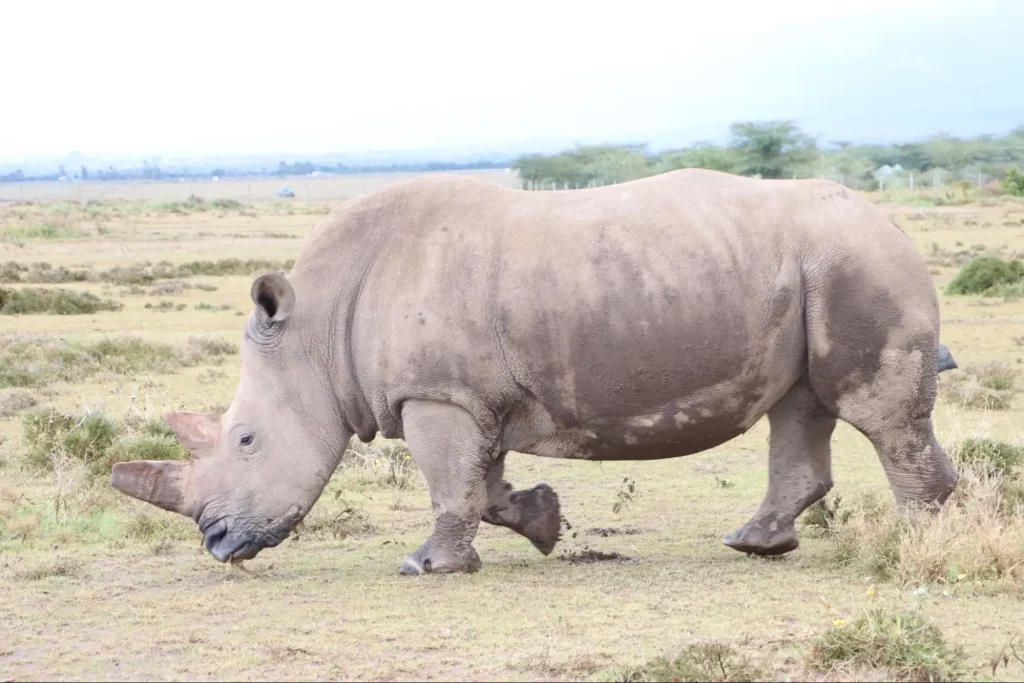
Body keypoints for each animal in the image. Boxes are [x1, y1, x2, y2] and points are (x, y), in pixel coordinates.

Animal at [112, 169, 958, 573]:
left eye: (246, 439)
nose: (217, 542)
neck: (315, 331)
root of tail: (892, 220)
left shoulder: (437, 395)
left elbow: (451, 484)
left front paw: (425, 566)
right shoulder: (469, 396)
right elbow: (481, 485)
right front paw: (545, 522)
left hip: (854, 260)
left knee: (873, 413)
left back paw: (915, 549)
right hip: (819, 266)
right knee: (803, 403)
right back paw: (754, 544)